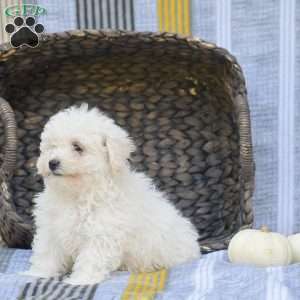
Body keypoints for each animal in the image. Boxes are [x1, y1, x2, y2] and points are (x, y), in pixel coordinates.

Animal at [25, 104, 199, 284]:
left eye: (77, 147)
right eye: (52, 147)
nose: (52, 163)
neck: (77, 193)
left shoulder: (100, 234)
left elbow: (91, 259)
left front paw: (80, 280)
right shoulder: (51, 229)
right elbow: (47, 253)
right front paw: (37, 273)